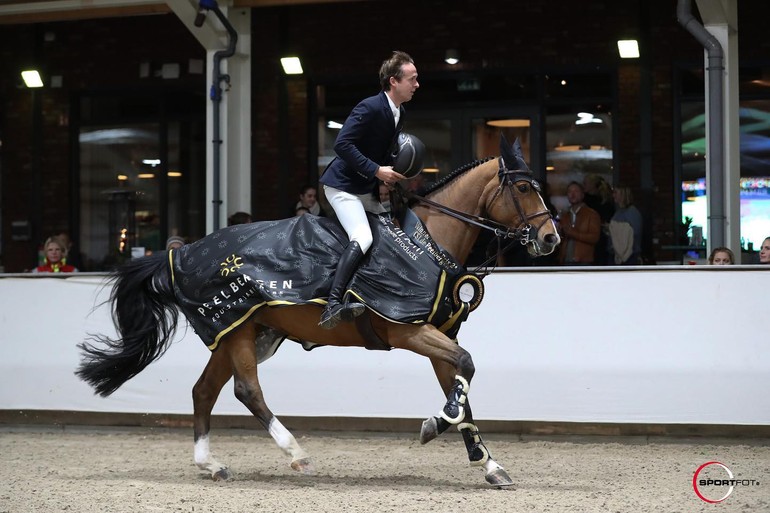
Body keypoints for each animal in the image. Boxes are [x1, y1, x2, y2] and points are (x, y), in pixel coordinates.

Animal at [76, 134, 560, 486]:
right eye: (522, 188)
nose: (551, 238)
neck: (427, 245)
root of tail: (183, 252)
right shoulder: (408, 330)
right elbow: (465, 370)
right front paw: (431, 428)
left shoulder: (443, 334)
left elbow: (460, 389)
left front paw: (488, 463)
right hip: (236, 329)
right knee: (246, 391)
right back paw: (296, 453)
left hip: (237, 332)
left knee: (203, 391)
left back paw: (210, 465)